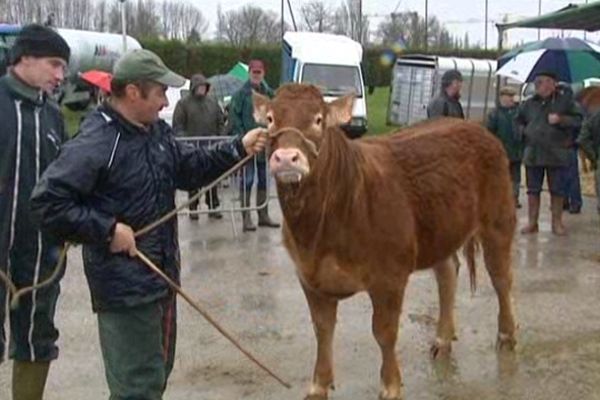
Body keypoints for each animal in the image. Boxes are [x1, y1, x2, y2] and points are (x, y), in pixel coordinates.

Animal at [253, 84, 516, 400]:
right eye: (270, 119)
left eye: (318, 120)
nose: (286, 158)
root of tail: (477, 128)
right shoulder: (309, 277)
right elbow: (323, 330)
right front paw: (318, 384)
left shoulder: (389, 277)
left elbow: (384, 332)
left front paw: (390, 385)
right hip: (440, 230)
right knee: (447, 275)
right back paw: (442, 339)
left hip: (498, 220)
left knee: (501, 278)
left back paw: (506, 334)